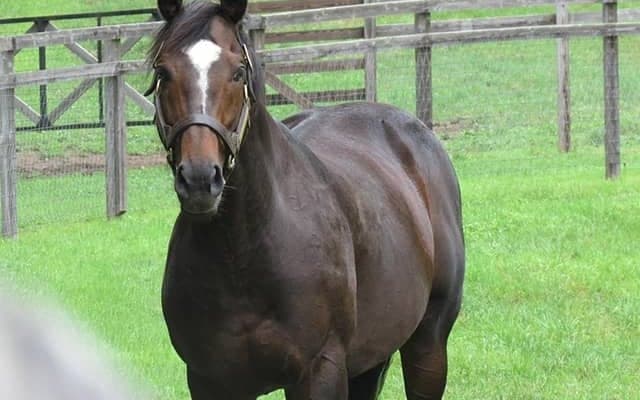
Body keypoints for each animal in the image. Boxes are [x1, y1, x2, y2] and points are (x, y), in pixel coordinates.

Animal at [148, 1, 465, 398]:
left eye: (238, 72)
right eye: (163, 72)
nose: (200, 178)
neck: (244, 252)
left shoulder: (319, 371)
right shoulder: (209, 381)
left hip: (428, 343)